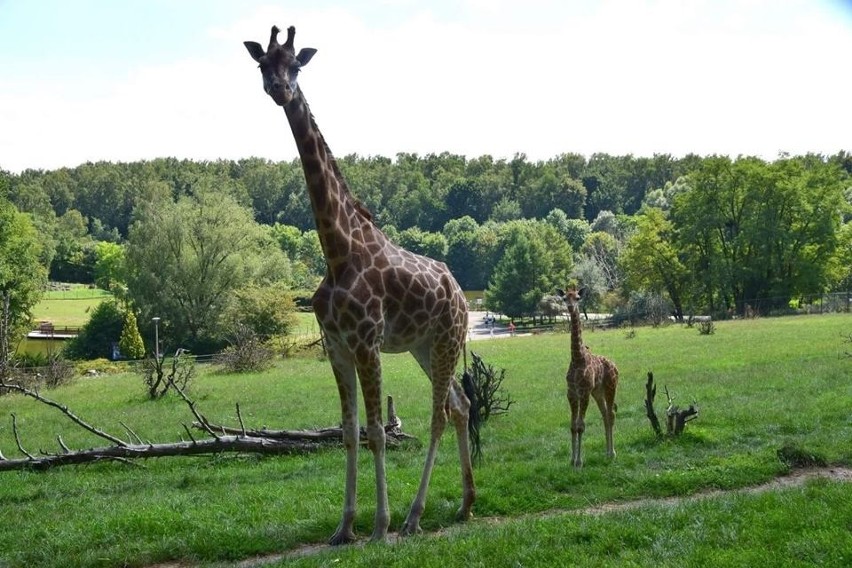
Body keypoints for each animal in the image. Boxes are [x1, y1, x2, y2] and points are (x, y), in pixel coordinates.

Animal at [243, 24, 476, 544]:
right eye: (263, 64)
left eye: (297, 64)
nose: (280, 89)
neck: (337, 250)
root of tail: (460, 293)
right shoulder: (336, 345)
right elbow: (350, 432)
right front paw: (344, 527)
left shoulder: (367, 343)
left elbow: (376, 432)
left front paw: (379, 527)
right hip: (424, 346)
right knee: (461, 404)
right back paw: (466, 503)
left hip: (447, 340)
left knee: (440, 413)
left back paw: (413, 516)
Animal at [556, 286, 616, 468]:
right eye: (564, 298)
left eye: (577, 297)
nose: (570, 307)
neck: (577, 358)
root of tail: (616, 366)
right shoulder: (572, 393)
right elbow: (572, 426)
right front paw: (572, 460)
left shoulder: (584, 392)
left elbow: (581, 426)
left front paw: (579, 462)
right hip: (598, 392)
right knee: (605, 415)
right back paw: (607, 452)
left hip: (611, 388)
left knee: (611, 414)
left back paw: (613, 453)